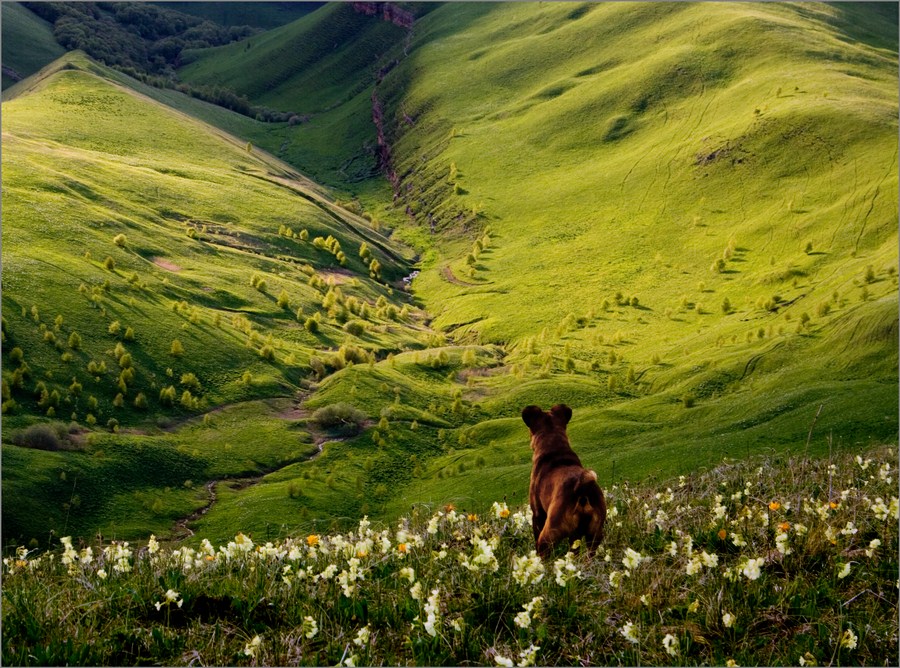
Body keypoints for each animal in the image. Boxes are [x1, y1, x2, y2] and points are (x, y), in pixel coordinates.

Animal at [516, 404, 608, 556]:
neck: (554, 446)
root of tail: (582, 488)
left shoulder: (537, 514)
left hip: (551, 531)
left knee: (543, 549)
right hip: (594, 534)